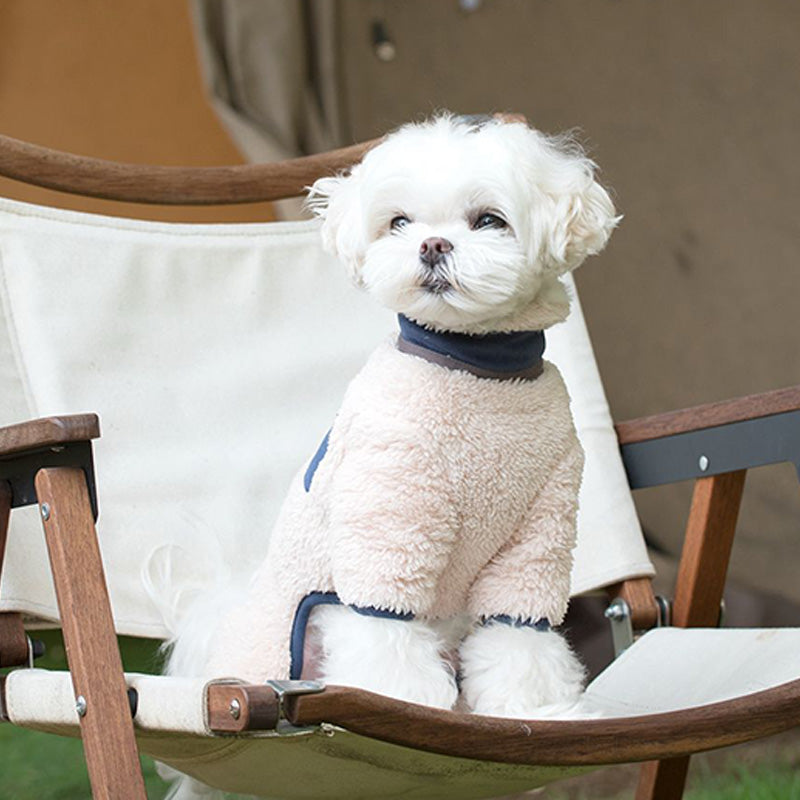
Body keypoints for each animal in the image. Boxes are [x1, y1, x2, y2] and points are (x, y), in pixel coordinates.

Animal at [167, 109, 620, 728]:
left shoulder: (538, 529)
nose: (431, 244)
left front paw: (535, 707)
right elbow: (384, 629)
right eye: (398, 223)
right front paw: (403, 703)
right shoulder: (391, 510)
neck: (480, 372)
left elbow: (518, 631)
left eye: (489, 220)